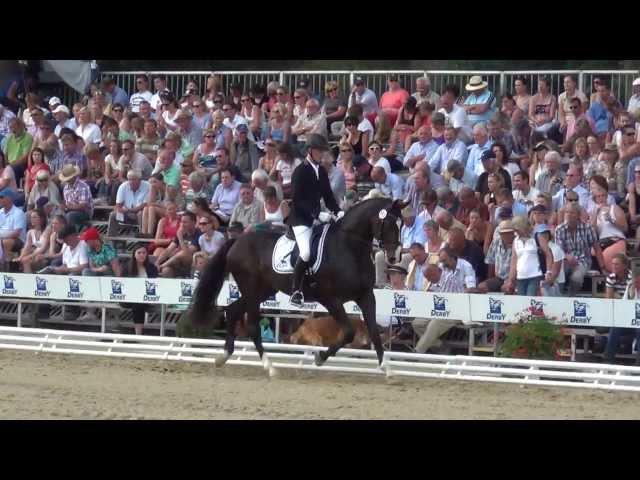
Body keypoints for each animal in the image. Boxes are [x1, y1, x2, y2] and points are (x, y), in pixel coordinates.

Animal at [189, 198, 404, 368]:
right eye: (389, 222)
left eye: (401, 223)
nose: (394, 257)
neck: (349, 247)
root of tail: (238, 240)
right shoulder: (330, 299)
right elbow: (349, 332)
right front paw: (320, 357)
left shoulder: (366, 296)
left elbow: (374, 331)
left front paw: (386, 369)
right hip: (251, 288)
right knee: (251, 325)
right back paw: (269, 366)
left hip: (262, 290)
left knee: (233, 311)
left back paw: (223, 357)